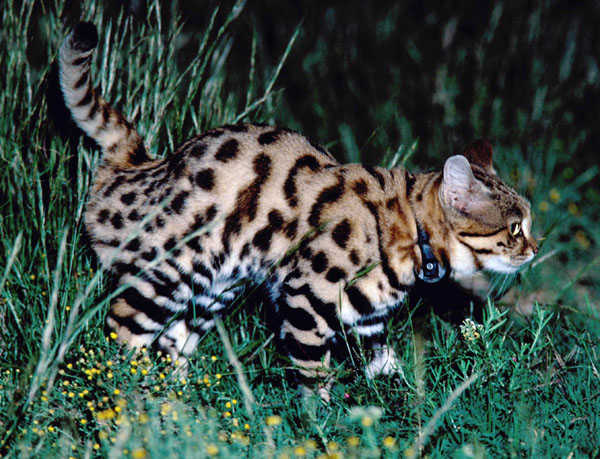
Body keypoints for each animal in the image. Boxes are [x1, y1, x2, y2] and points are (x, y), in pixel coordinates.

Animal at [58, 23, 540, 400]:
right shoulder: (307, 298)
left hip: (214, 290)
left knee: (169, 346)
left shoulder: (367, 320)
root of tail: (139, 163)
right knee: (121, 334)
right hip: (167, 275)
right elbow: (313, 376)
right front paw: (324, 426)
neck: (409, 232)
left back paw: (176, 402)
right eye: (515, 227)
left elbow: (388, 370)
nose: (536, 248)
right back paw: (123, 399)